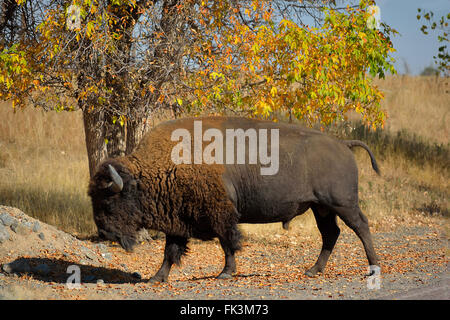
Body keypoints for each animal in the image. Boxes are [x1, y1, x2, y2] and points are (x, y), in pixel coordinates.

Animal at [89, 116, 382, 282]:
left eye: (110, 200)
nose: (104, 232)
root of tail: (343, 144)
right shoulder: (178, 219)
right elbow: (170, 251)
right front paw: (156, 278)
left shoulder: (221, 213)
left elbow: (228, 242)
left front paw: (226, 273)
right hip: (321, 208)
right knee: (331, 233)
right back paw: (313, 270)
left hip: (342, 204)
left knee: (361, 227)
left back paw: (373, 267)